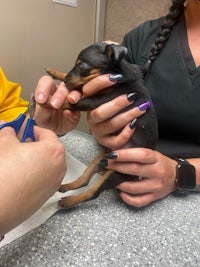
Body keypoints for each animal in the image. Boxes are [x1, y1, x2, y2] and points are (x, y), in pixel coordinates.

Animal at [46, 43, 159, 208]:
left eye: (81, 66)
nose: (66, 80)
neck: (118, 72)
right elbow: (78, 87)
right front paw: (55, 72)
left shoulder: (94, 100)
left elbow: (72, 102)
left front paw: (49, 101)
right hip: (100, 159)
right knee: (84, 180)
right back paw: (67, 187)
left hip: (116, 173)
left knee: (93, 193)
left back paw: (69, 201)